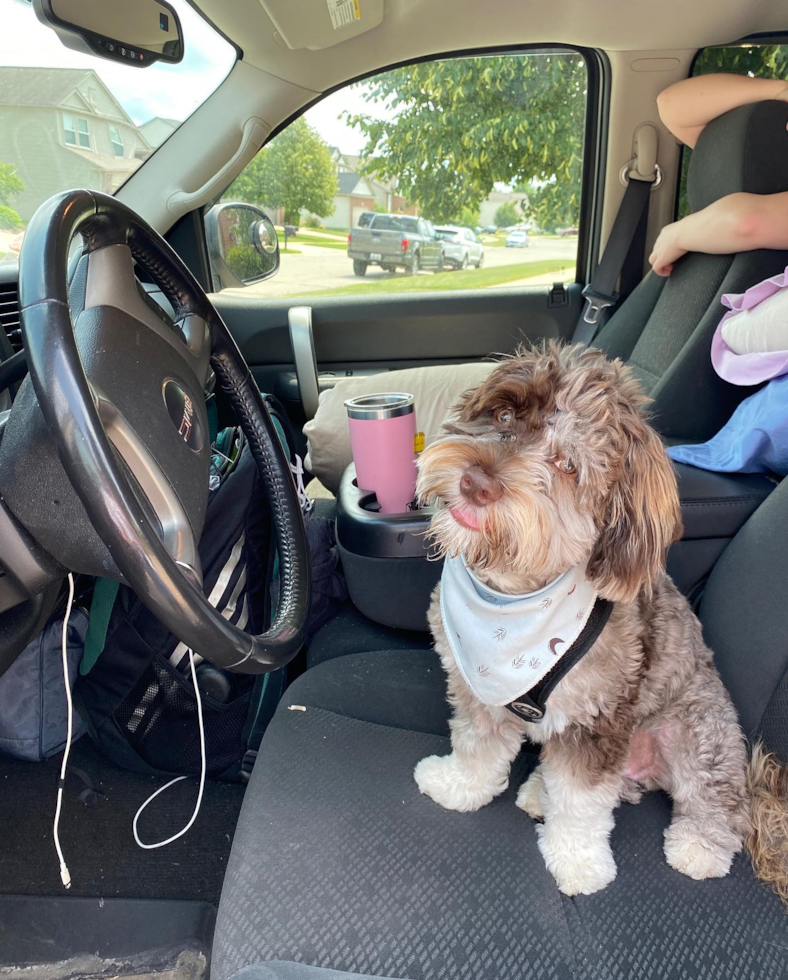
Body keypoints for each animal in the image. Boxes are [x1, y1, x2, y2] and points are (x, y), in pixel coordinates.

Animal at [416, 342, 784, 896]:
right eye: (504, 415)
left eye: (567, 465)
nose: (476, 483)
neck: (514, 597)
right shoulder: (477, 688)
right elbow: (477, 744)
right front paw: (458, 786)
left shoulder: (600, 719)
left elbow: (584, 800)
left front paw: (577, 862)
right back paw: (540, 791)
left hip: (699, 730)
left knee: (716, 798)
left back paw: (700, 845)